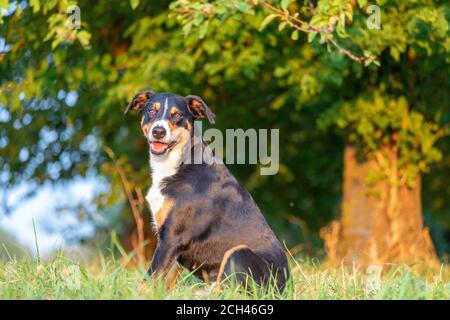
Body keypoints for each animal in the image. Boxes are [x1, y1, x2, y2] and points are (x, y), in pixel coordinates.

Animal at [125, 90, 290, 290]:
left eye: (178, 115)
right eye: (151, 111)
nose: (158, 131)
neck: (179, 163)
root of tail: (284, 287)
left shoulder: (172, 237)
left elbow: (148, 279)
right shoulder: (172, 246)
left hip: (238, 253)